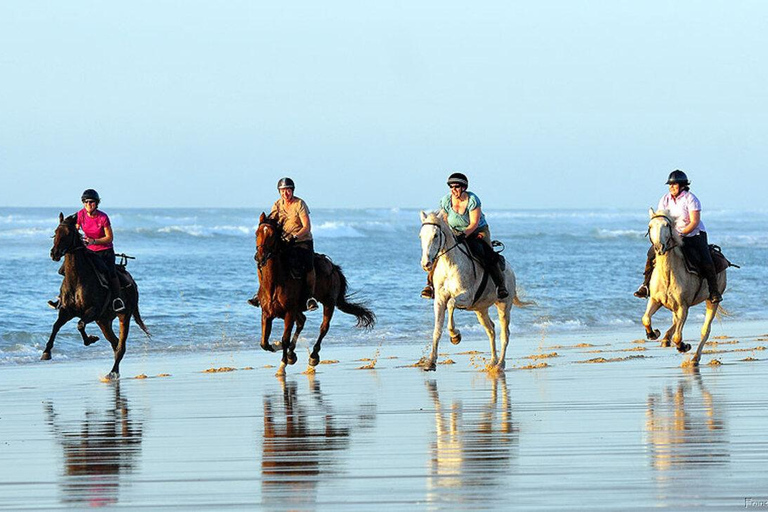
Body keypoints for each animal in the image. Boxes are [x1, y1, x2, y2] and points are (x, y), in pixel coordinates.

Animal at [43, 211, 152, 376]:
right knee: (115, 343)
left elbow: (80, 325)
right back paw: (114, 371)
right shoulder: (66, 311)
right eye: (56, 232)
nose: (54, 254)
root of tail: (132, 282)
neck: (77, 279)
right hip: (103, 321)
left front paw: (91, 339)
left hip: (123, 316)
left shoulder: (93, 310)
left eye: (68, 233)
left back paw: (112, 373)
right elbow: (56, 326)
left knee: (121, 346)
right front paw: (46, 352)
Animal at [255, 212, 376, 376]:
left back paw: (313, 357)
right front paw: (280, 349)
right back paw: (292, 355)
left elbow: (285, 338)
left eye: (272, 235)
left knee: (323, 328)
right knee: (302, 321)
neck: (275, 282)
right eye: (257, 233)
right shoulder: (266, 313)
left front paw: (282, 366)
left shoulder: (289, 312)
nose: (260, 257)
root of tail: (334, 268)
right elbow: (264, 343)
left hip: (329, 303)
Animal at [420, 212, 528, 372]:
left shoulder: (466, 297)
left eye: (435, 235)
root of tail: (510, 269)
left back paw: (500, 364)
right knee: (491, 330)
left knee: (505, 334)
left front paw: (455, 336)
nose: (426, 264)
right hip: (480, 309)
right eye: (421, 236)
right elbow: (437, 329)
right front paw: (431, 362)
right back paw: (492, 361)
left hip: (503, 305)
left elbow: (451, 304)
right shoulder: (439, 300)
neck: (449, 264)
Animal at [640, 206, 728, 366]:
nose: (659, 247)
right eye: (650, 226)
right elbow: (646, 319)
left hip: (712, 302)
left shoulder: (683, 306)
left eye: (667, 225)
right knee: (674, 322)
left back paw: (694, 359)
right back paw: (665, 338)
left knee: (705, 330)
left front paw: (684, 346)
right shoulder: (655, 300)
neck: (668, 274)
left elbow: (678, 336)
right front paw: (653, 333)